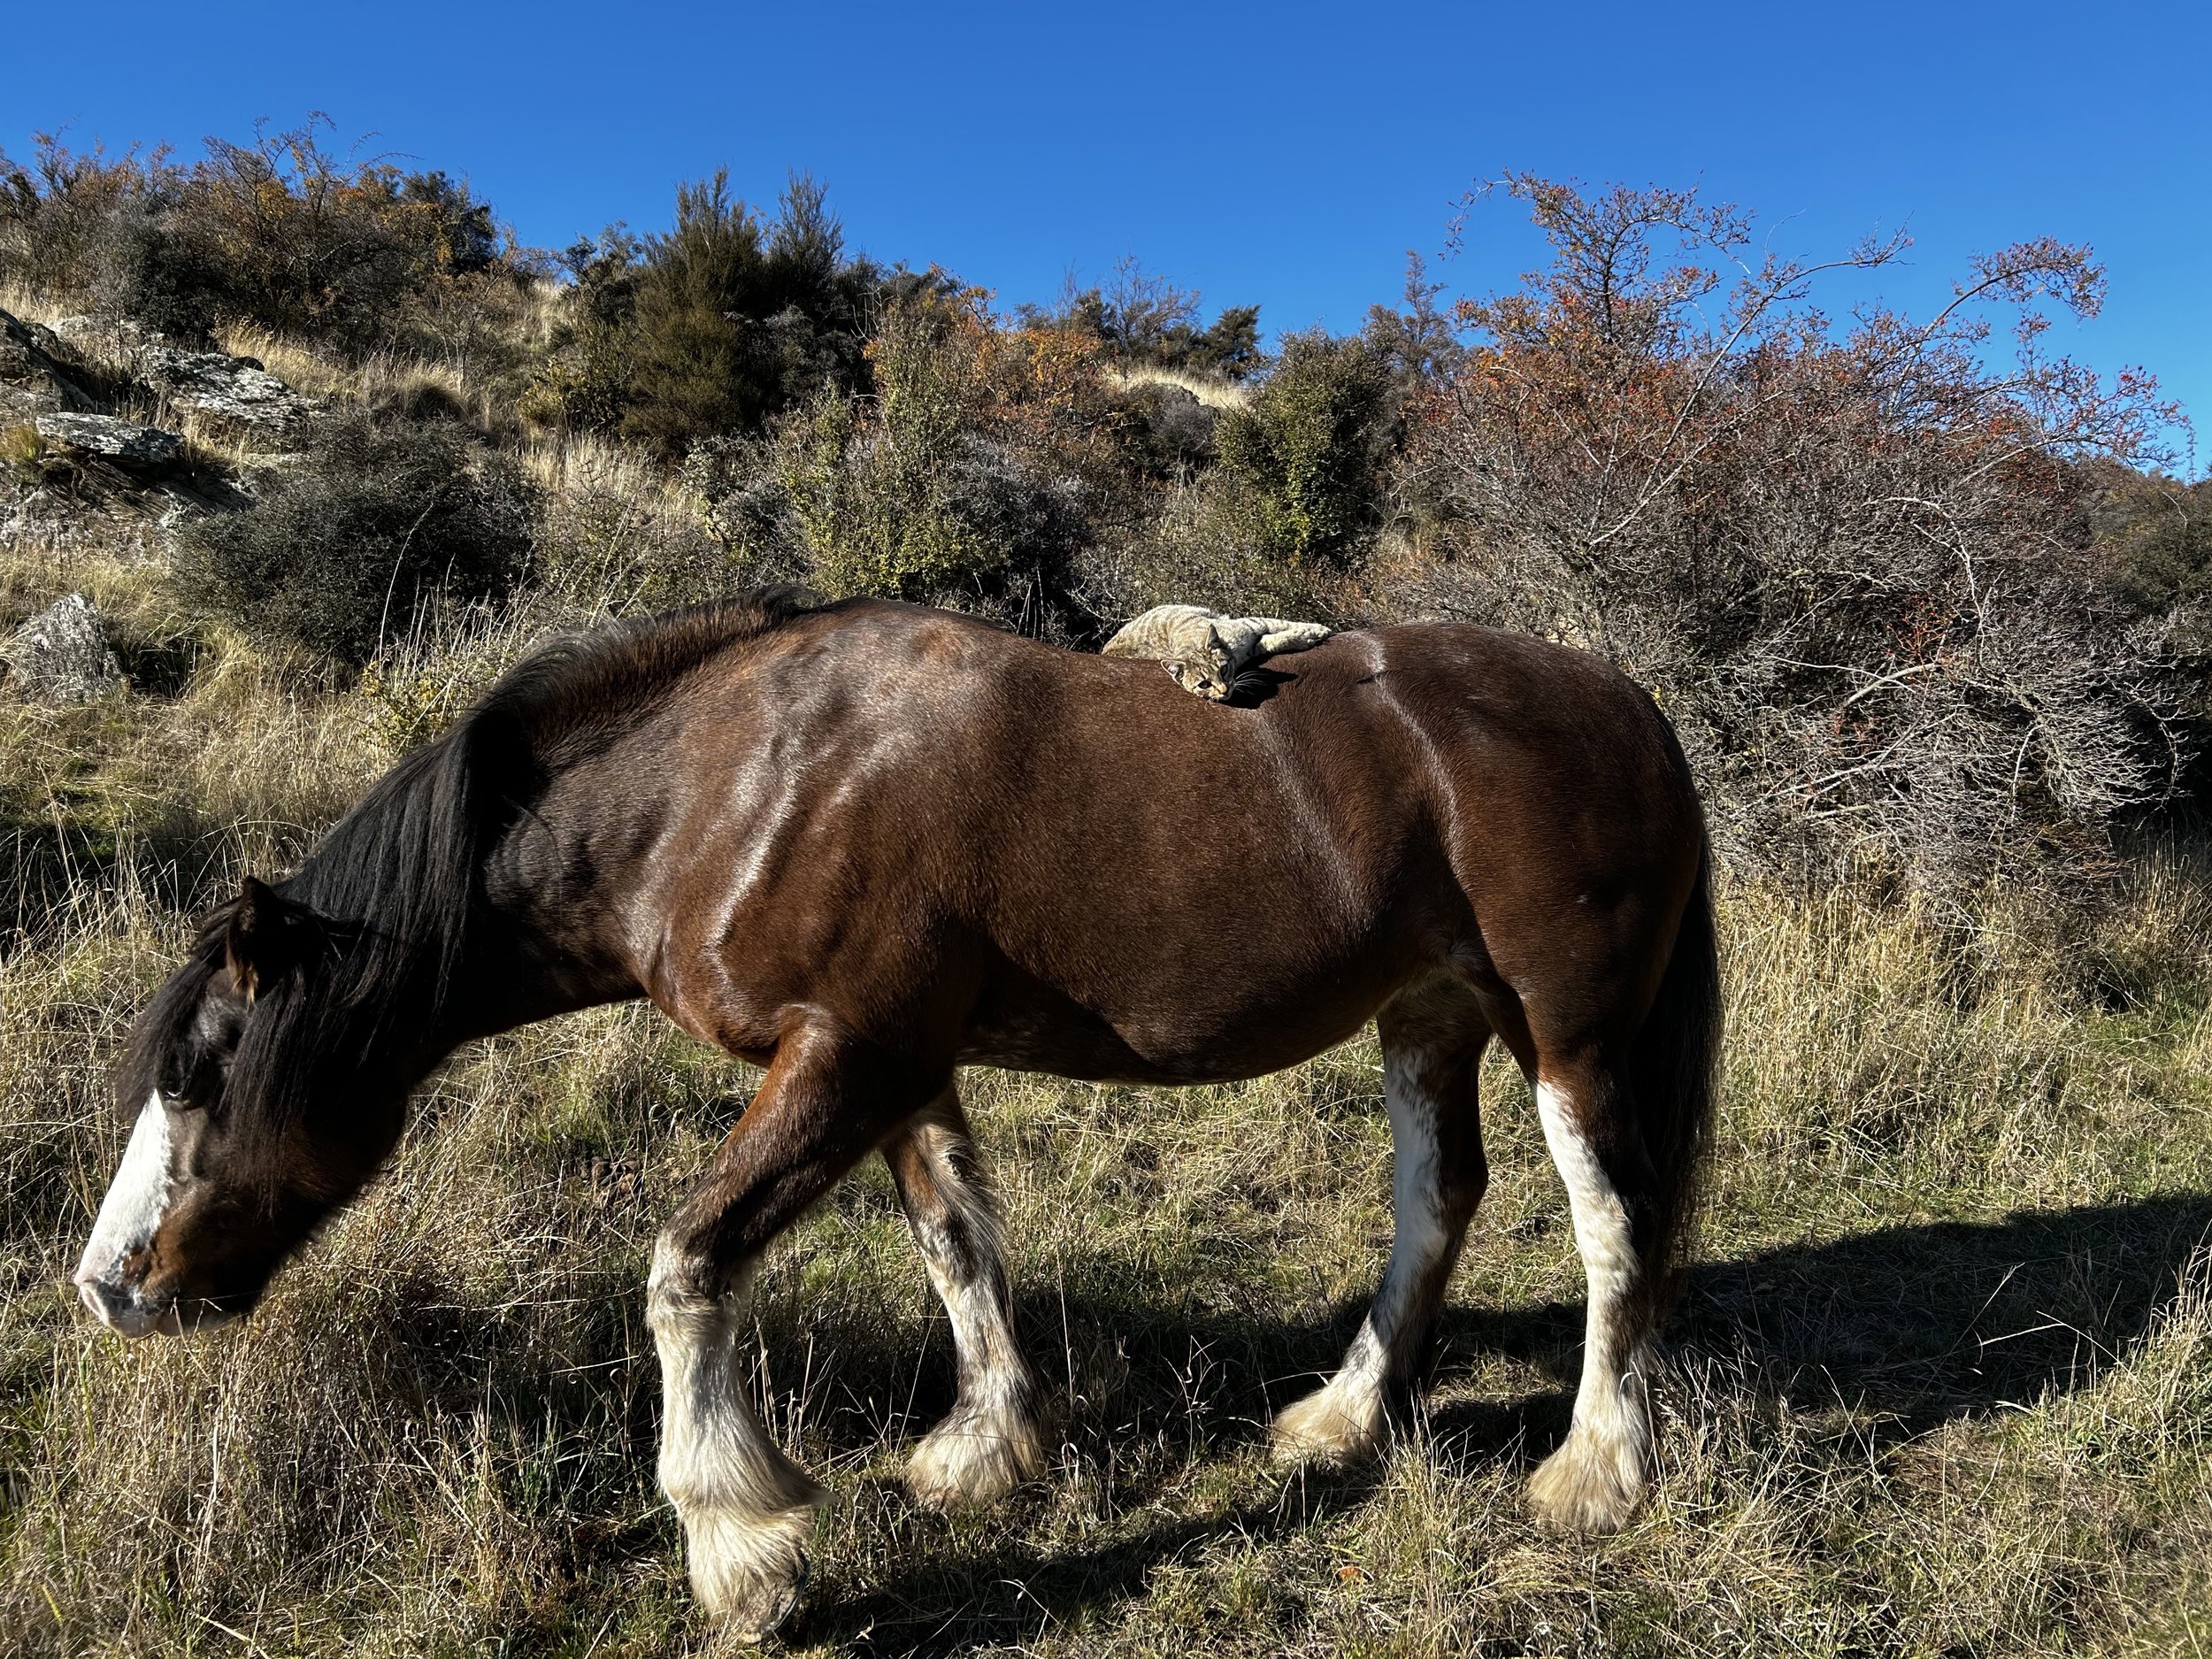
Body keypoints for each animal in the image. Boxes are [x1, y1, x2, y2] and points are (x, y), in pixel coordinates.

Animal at [75, 590, 1719, 1639]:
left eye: (195, 1070)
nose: (111, 1287)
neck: (733, 782)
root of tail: (1623, 698)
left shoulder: (844, 1058)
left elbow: (686, 1270)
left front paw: (738, 1545)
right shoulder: (901, 1069)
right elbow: (955, 1248)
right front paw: (984, 1450)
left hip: (1566, 1034)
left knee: (1614, 1224)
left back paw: (1596, 1471)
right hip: (1427, 1015)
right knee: (1439, 1200)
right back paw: (1340, 1419)